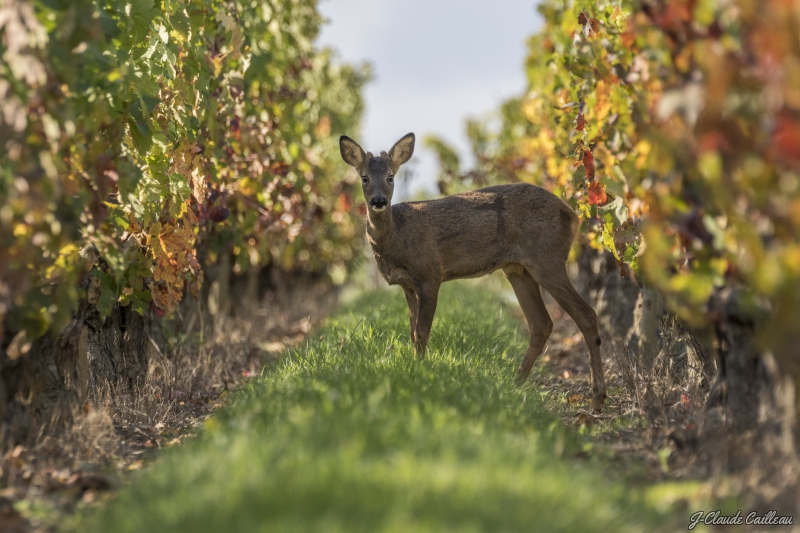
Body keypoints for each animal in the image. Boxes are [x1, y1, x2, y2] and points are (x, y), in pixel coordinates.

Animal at [338, 131, 608, 410]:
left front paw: (420, 371)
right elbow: (412, 332)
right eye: (364, 177)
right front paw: (414, 367)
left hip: (548, 258)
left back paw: (597, 398)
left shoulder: (430, 273)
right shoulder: (408, 285)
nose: (378, 201)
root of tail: (573, 215)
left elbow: (422, 331)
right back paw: (515, 382)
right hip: (517, 269)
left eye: (391, 176)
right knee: (541, 323)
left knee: (587, 314)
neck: (396, 238)